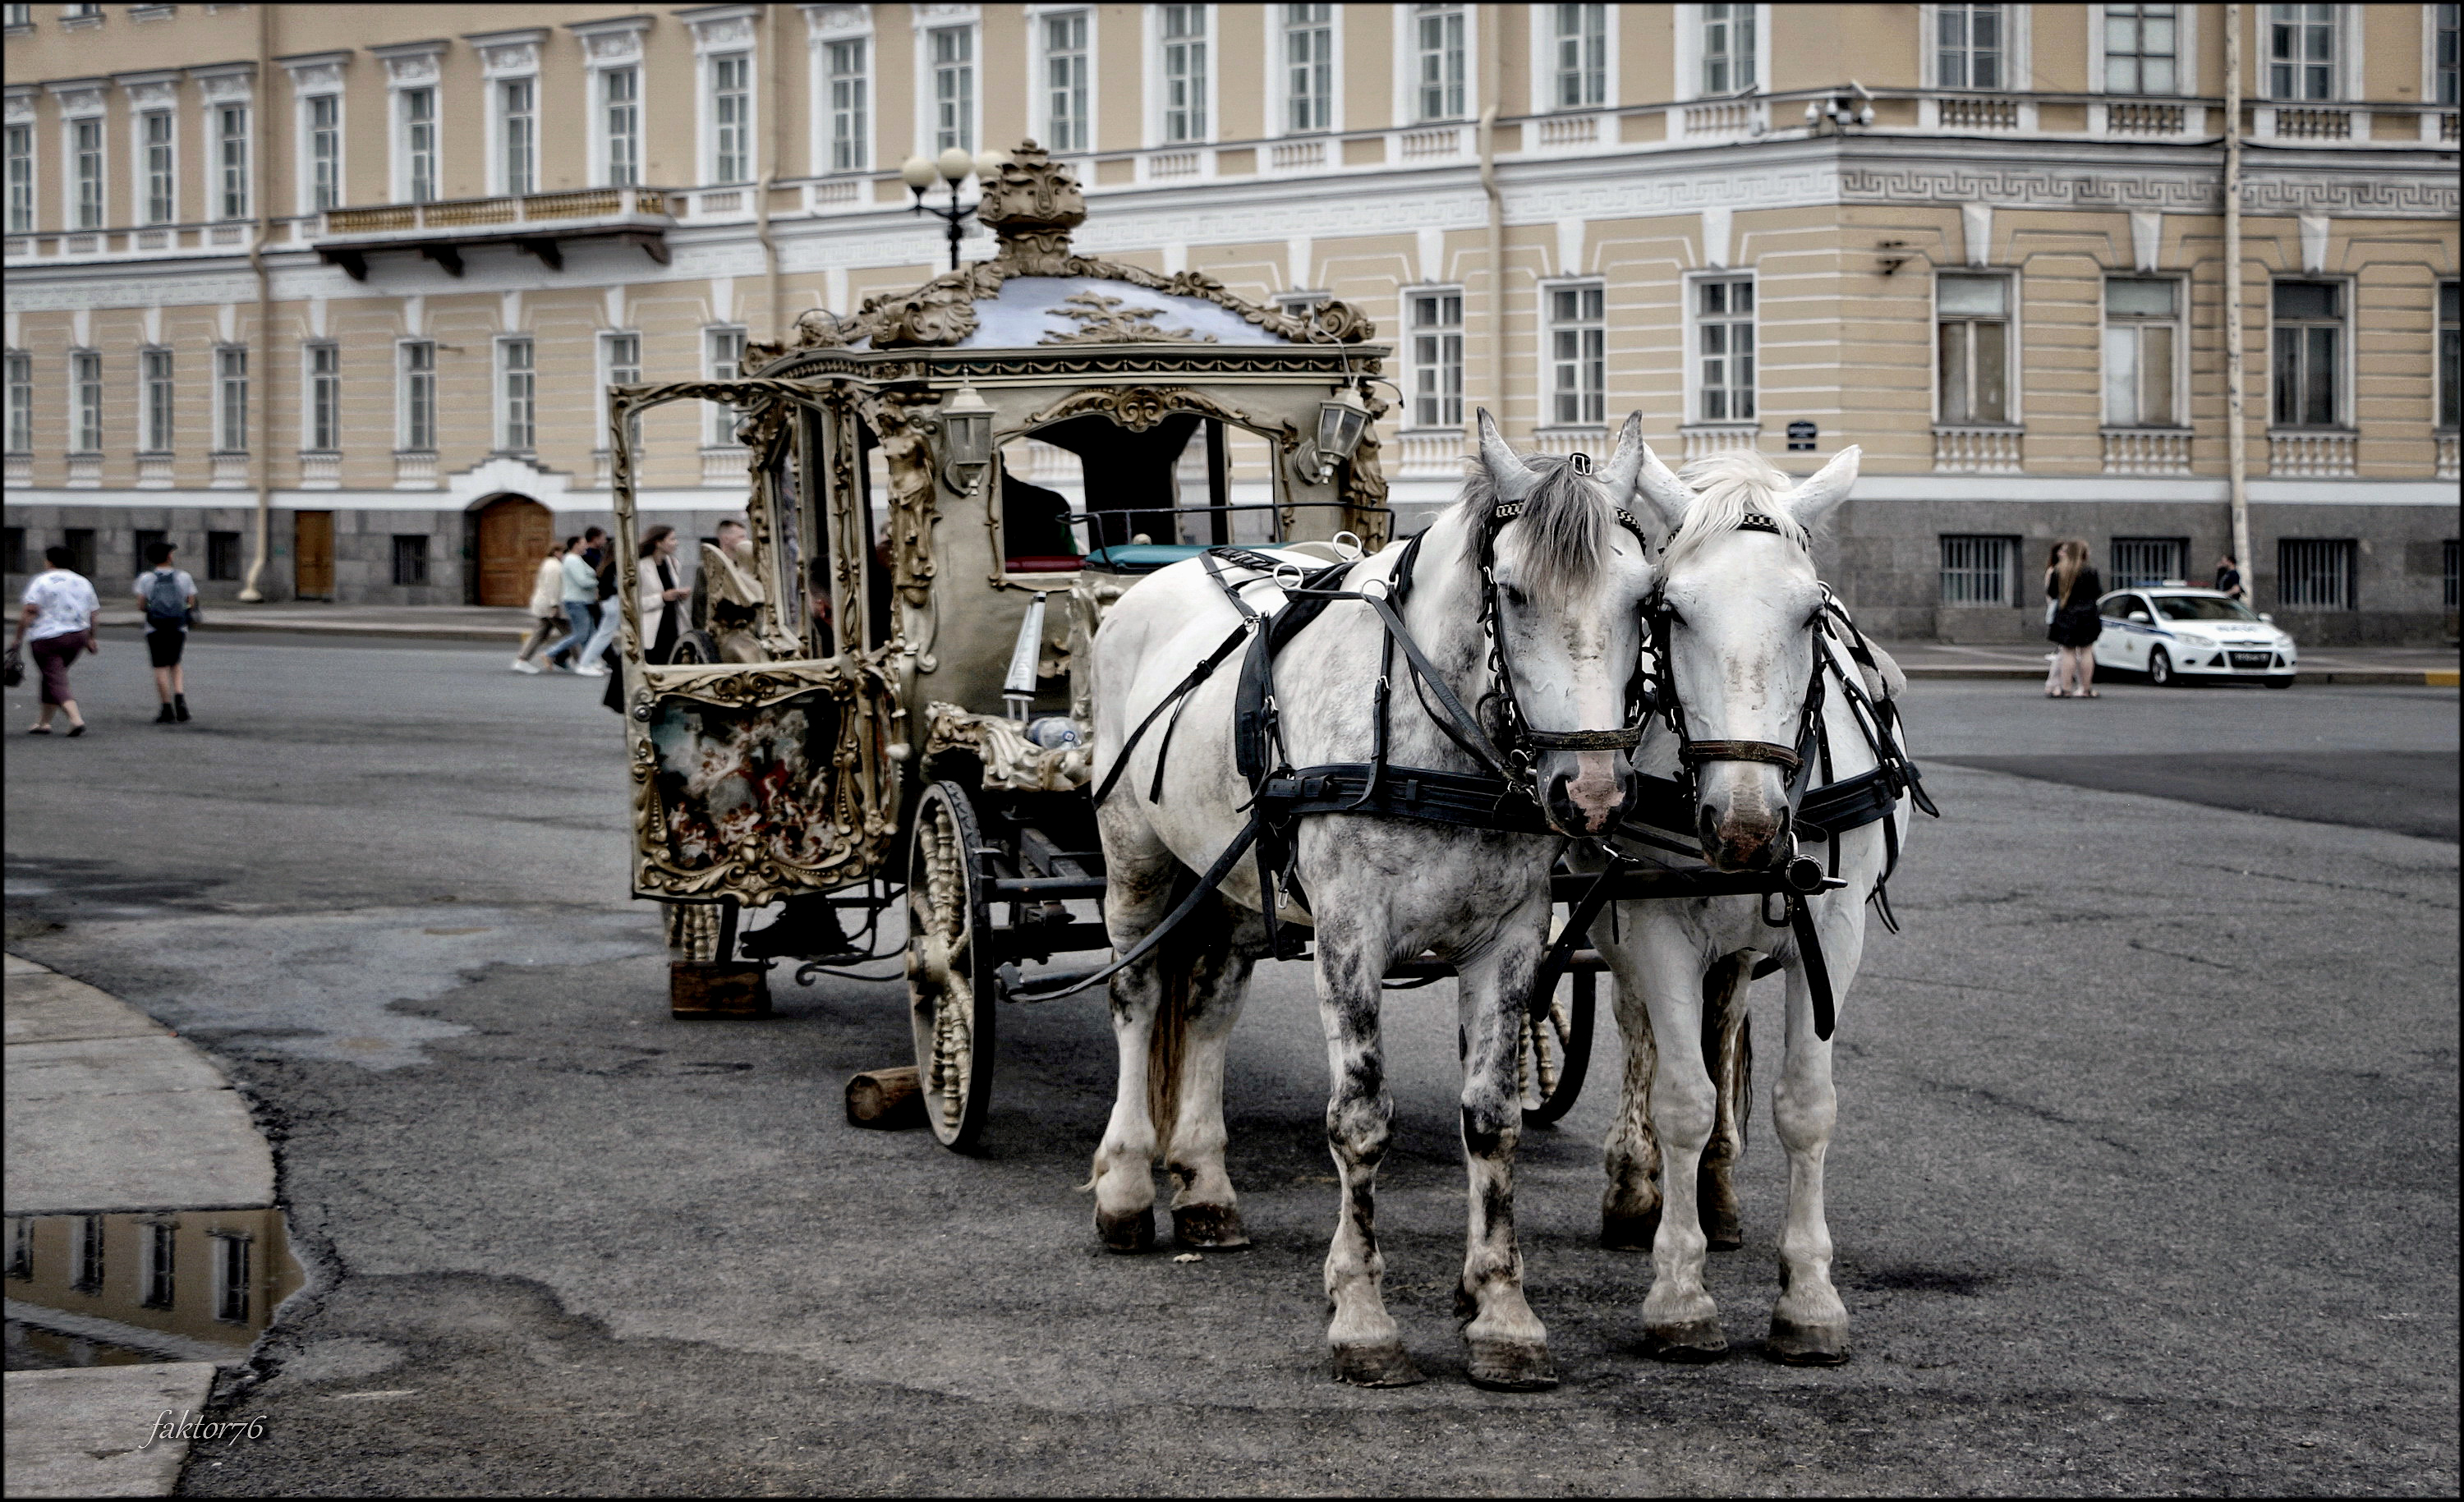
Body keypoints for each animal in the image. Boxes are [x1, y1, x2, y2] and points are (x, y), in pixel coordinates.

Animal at [1084, 406, 1656, 1379]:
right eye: (1513, 592)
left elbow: (1493, 1117)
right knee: (1137, 993)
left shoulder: (1510, 936)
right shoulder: (1351, 931)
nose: (1590, 792)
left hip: (1235, 874)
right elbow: (1359, 1118)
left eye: (1645, 595)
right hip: (1136, 857)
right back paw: (1125, 1185)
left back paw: (1205, 1187)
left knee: (1207, 1006)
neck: (1436, 738)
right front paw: (1361, 1312)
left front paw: (1501, 1310)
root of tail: (1156, 575)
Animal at [1587, 438, 1912, 1359]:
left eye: (1810, 613)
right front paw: (1678, 1294)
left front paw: (1809, 1296)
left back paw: (1719, 1192)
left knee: (1725, 1019)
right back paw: (1635, 1183)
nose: (1745, 826)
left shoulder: (1831, 930)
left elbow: (1804, 1107)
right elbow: (1683, 1098)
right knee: (1638, 1033)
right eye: (1669, 611)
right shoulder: (1655, 924)